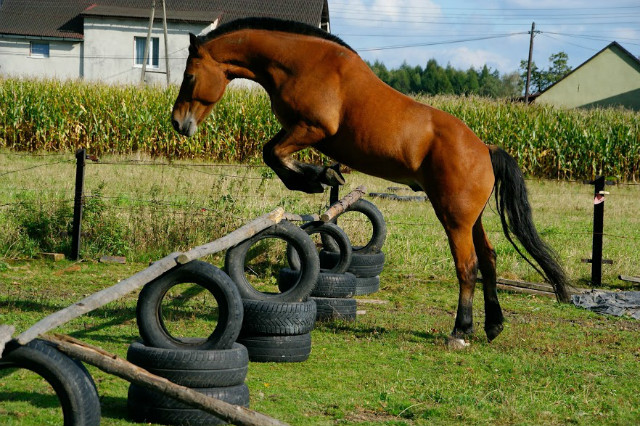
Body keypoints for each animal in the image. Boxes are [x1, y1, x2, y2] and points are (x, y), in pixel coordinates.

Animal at [170, 19, 568, 342]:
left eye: (189, 76)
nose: (177, 123)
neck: (299, 63)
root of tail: (485, 148)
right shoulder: (300, 131)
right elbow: (274, 154)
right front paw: (325, 175)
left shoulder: (311, 128)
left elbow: (273, 154)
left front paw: (315, 178)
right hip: (474, 219)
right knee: (488, 260)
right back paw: (493, 326)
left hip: (454, 218)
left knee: (467, 267)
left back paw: (461, 330)